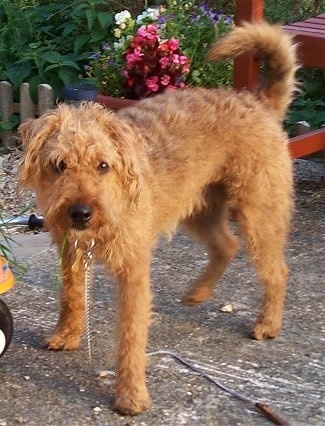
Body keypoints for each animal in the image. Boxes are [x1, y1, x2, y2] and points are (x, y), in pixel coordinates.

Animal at [17, 21, 296, 414]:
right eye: (59, 165)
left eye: (103, 165)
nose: (81, 213)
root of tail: (257, 101)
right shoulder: (72, 252)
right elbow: (71, 297)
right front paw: (67, 335)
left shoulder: (133, 272)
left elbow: (131, 336)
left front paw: (131, 394)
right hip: (199, 209)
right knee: (226, 245)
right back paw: (197, 293)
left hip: (257, 213)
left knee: (276, 270)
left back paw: (267, 324)